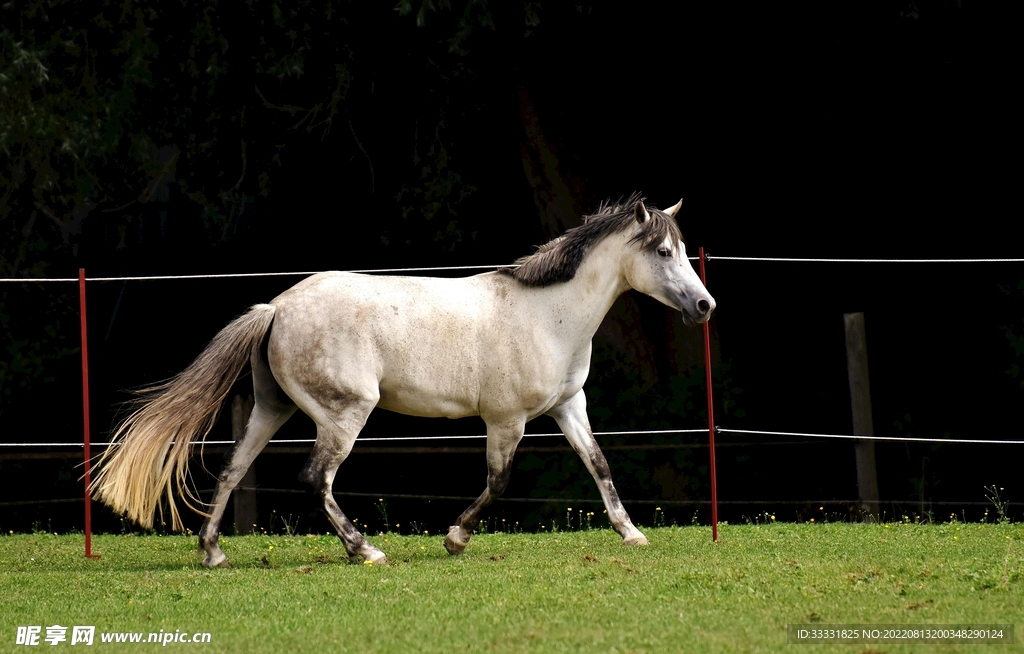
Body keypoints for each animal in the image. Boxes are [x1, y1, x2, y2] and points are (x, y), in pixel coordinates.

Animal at [91, 194, 716, 567]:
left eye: (684, 249)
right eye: (664, 251)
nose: (705, 306)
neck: (548, 315)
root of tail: (277, 308)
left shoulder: (569, 406)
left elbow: (599, 464)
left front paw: (632, 534)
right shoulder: (506, 420)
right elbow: (499, 483)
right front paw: (455, 539)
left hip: (273, 409)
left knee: (231, 469)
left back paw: (213, 553)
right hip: (344, 414)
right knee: (315, 478)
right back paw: (365, 550)